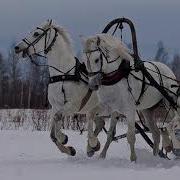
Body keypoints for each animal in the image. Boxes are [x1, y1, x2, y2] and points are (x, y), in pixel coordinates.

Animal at [13, 19, 122, 157]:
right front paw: (69, 149)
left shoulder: (72, 106)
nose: (17, 47)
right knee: (99, 122)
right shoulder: (55, 106)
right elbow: (52, 134)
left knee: (110, 132)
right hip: (96, 109)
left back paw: (95, 146)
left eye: (36, 34)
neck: (63, 74)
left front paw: (63, 137)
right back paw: (92, 147)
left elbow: (57, 118)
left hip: (112, 110)